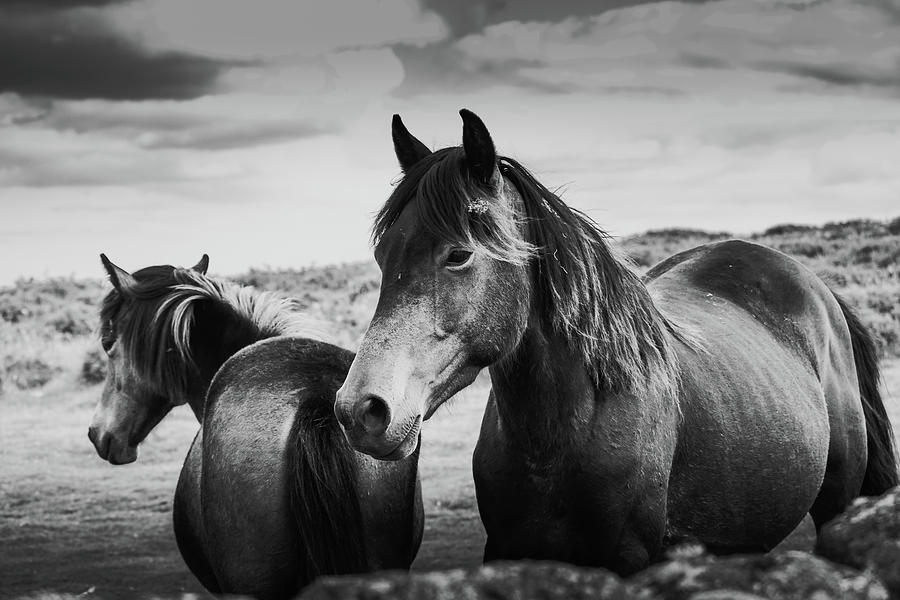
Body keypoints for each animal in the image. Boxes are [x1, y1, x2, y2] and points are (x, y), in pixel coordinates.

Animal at [334, 110, 896, 576]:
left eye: (458, 254)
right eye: (383, 256)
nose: (360, 409)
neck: (567, 429)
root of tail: (815, 285)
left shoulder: (627, 559)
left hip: (837, 503)